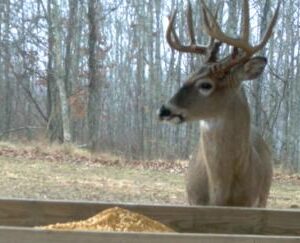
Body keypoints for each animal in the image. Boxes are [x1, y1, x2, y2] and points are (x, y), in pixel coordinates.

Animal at [158, 0, 280, 207]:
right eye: (188, 76)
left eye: (206, 85)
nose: (164, 110)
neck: (219, 195)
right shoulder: (194, 201)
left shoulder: (251, 204)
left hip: (264, 196)